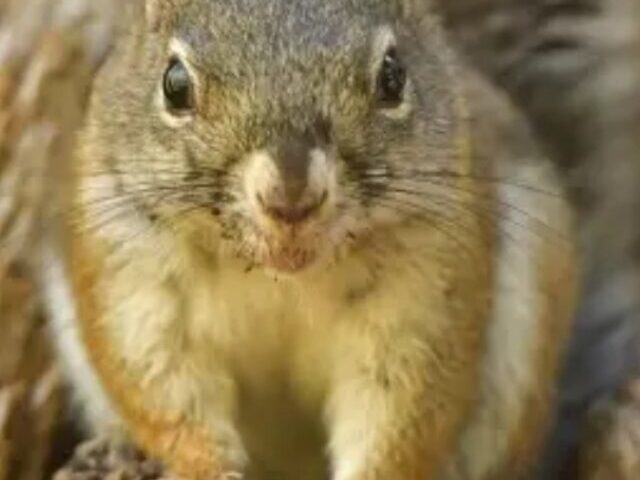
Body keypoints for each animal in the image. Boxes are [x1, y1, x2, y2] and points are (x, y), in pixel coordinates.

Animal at [41, 0, 580, 480]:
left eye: (393, 76)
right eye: (174, 85)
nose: (290, 197)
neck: (281, 277)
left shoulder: (425, 293)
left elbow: (402, 413)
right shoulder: (136, 280)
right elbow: (164, 392)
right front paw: (205, 466)